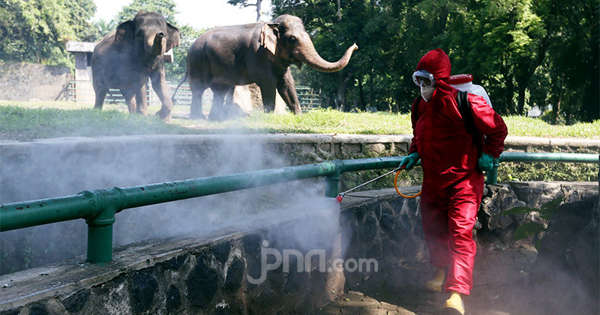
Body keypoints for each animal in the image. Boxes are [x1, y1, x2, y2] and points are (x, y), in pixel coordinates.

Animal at [172, 13, 356, 120]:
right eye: (292, 39)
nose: (355, 45)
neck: (271, 24)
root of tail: (190, 47)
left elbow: (286, 84)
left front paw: (298, 116)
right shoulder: (257, 54)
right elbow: (268, 83)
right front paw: (269, 116)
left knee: (220, 90)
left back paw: (215, 119)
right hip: (198, 60)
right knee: (199, 89)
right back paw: (198, 118)